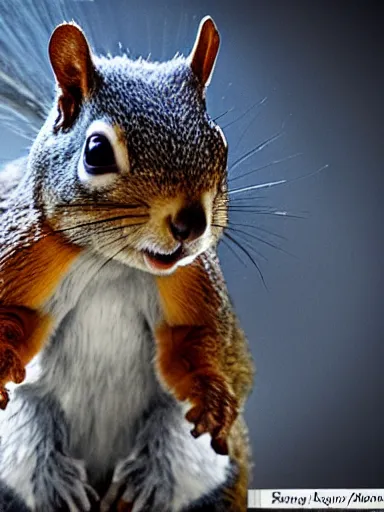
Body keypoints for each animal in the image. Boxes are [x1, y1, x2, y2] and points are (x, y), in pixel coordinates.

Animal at [0, 16, 255, 512]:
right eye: (97, 152)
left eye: (220, 143)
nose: (191, 222)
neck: (112, 264)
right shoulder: (27, 252)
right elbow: (14, 319)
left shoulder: (190, 279)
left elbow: (196, 341)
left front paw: (214, 394)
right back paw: (58, 484)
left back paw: (147, 483)